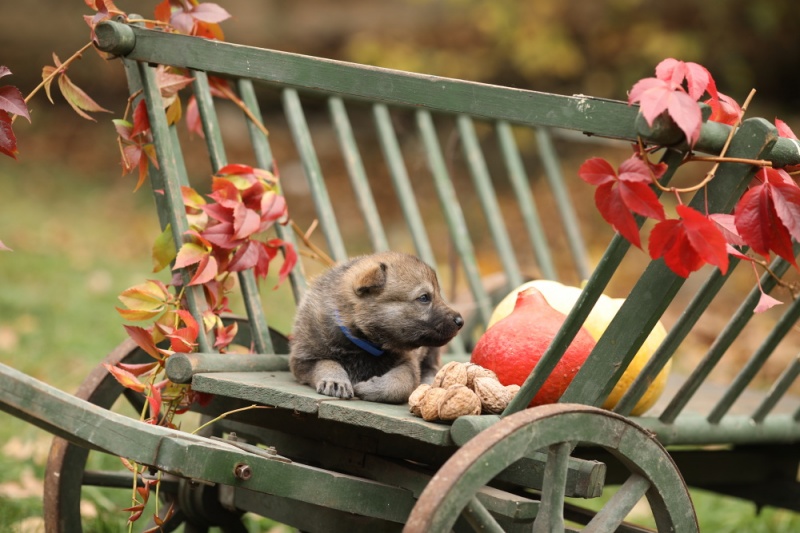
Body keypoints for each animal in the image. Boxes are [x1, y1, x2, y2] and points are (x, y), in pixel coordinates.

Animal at [288, 251, 462, 402]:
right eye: (424, 298)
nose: (460, 321)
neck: (363, 342)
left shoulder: (408, 363)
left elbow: (400, 383)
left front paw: (372, 388)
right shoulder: (304, 359)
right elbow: (326, 363)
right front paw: (336, 381)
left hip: (430, 350)